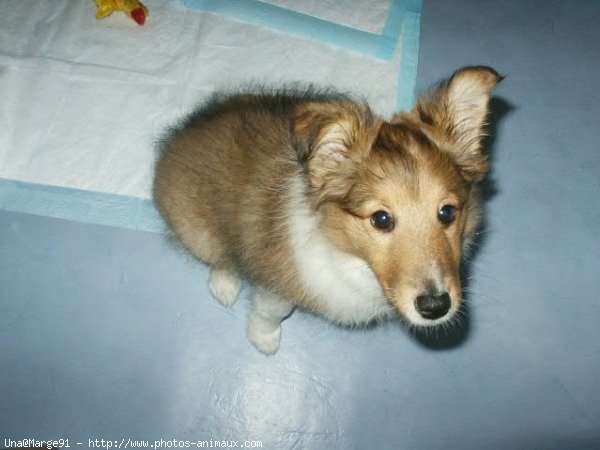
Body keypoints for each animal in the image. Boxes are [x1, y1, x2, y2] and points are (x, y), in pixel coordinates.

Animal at [154, 67, 502, 356]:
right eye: (381, 219)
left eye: (448, 212)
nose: (435, 306)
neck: (350, 257)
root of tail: (180, 132)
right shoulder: (278, 281)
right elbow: (270, 313)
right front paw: (264, 341)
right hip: (199, 233)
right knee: (221, 257)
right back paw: (225, 284)